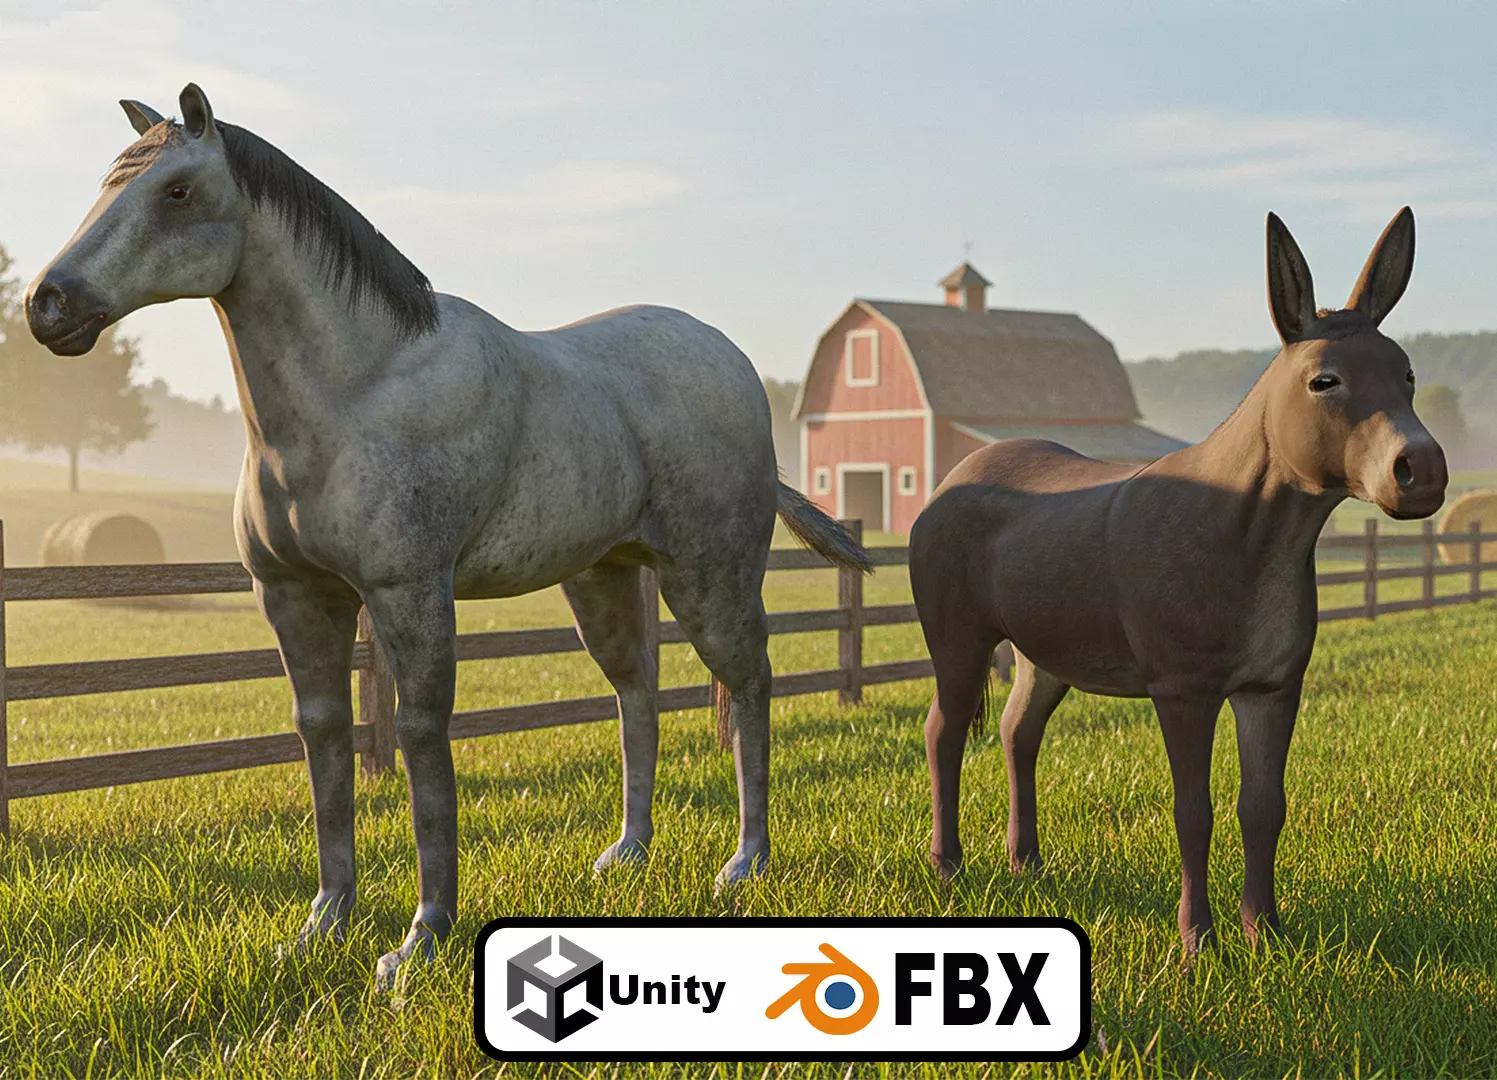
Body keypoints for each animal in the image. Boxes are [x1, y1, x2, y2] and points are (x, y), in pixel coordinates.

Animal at [25, 84, 871, 988]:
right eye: (108, 183)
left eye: (177, 190)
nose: (49, 303)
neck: (358, 389)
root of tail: (732, 364)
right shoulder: (295, 597)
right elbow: (324, 735)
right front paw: (323, 923)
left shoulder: (410, 593)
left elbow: (422, 738)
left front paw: (419, 941)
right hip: (603, 577)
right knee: (635, 690)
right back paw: (627, 854)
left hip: (709, 576)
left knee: (747, 684)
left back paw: (744, 864)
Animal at [908, 207, 1446, 953]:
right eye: (1324, 381)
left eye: (1407, 374)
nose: (1419, 471)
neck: (1242, 534)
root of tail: (952, 478)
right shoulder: (1182, 693)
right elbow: (1194, 812)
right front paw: (1197, 944)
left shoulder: (1271, 689)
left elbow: (1263, 807)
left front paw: (1264, 935)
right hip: (958, 644)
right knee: (945, 732)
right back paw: (948, 866)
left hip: (1042, 655)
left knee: (1018, 732)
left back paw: (1028, 864)